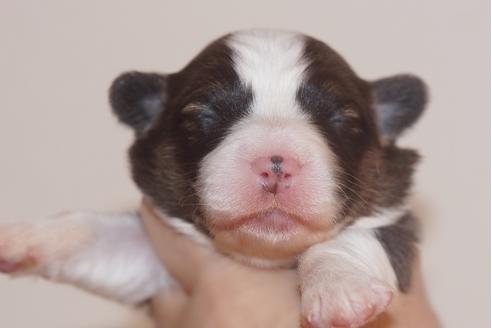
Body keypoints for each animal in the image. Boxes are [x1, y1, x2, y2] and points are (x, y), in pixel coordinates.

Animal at [0, 29, 426, 326]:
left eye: (343, 121)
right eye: (203, 116)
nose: (275, 161)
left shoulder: (396, 221)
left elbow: (353, 238)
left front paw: (340, 288)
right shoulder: (155, 264)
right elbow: (98, 232)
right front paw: (26, 237)